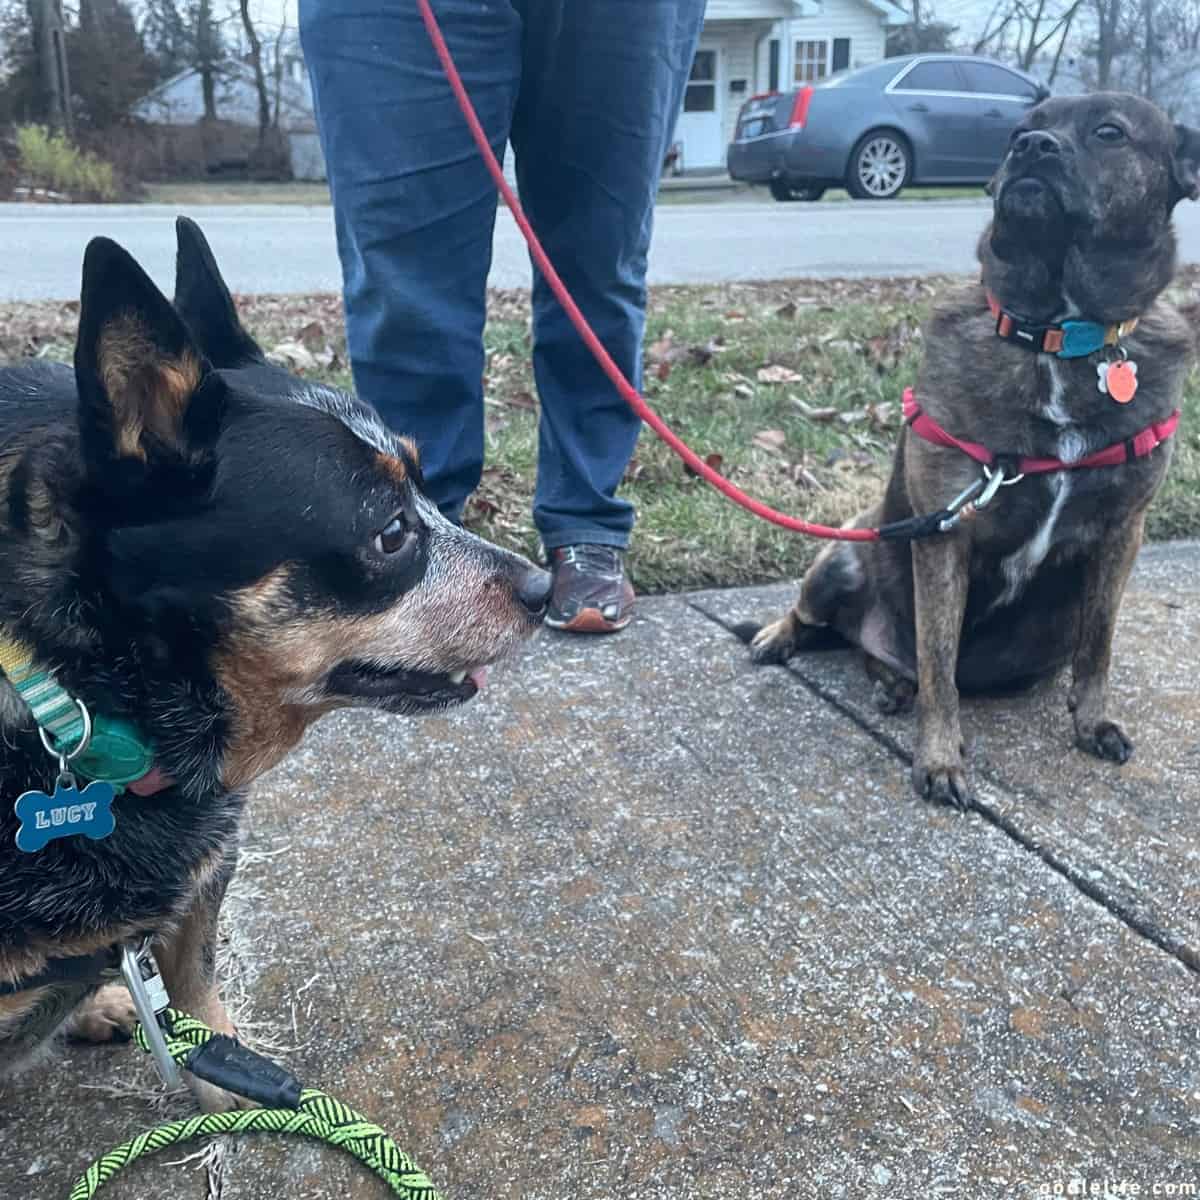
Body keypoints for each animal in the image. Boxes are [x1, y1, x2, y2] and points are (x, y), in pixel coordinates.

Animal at [0, 220, 549, 1108]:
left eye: (430, 488)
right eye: (392, 532)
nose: (544, 587)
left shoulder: (203, 871)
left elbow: (195, 980)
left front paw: (219, 1075)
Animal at [744, 93, 1195, 806]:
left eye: (1109, 131)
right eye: (1019, 131)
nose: (1032, 147)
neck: (1058, 337)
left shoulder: (1123, 531)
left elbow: (1098, 643)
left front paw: (1091, 720)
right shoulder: (944, 534)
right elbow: (939, 661)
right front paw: (939, 757)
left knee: (880, 653)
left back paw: (888, 680)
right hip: (842, 558)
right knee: (817, 616)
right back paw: (784, 640)